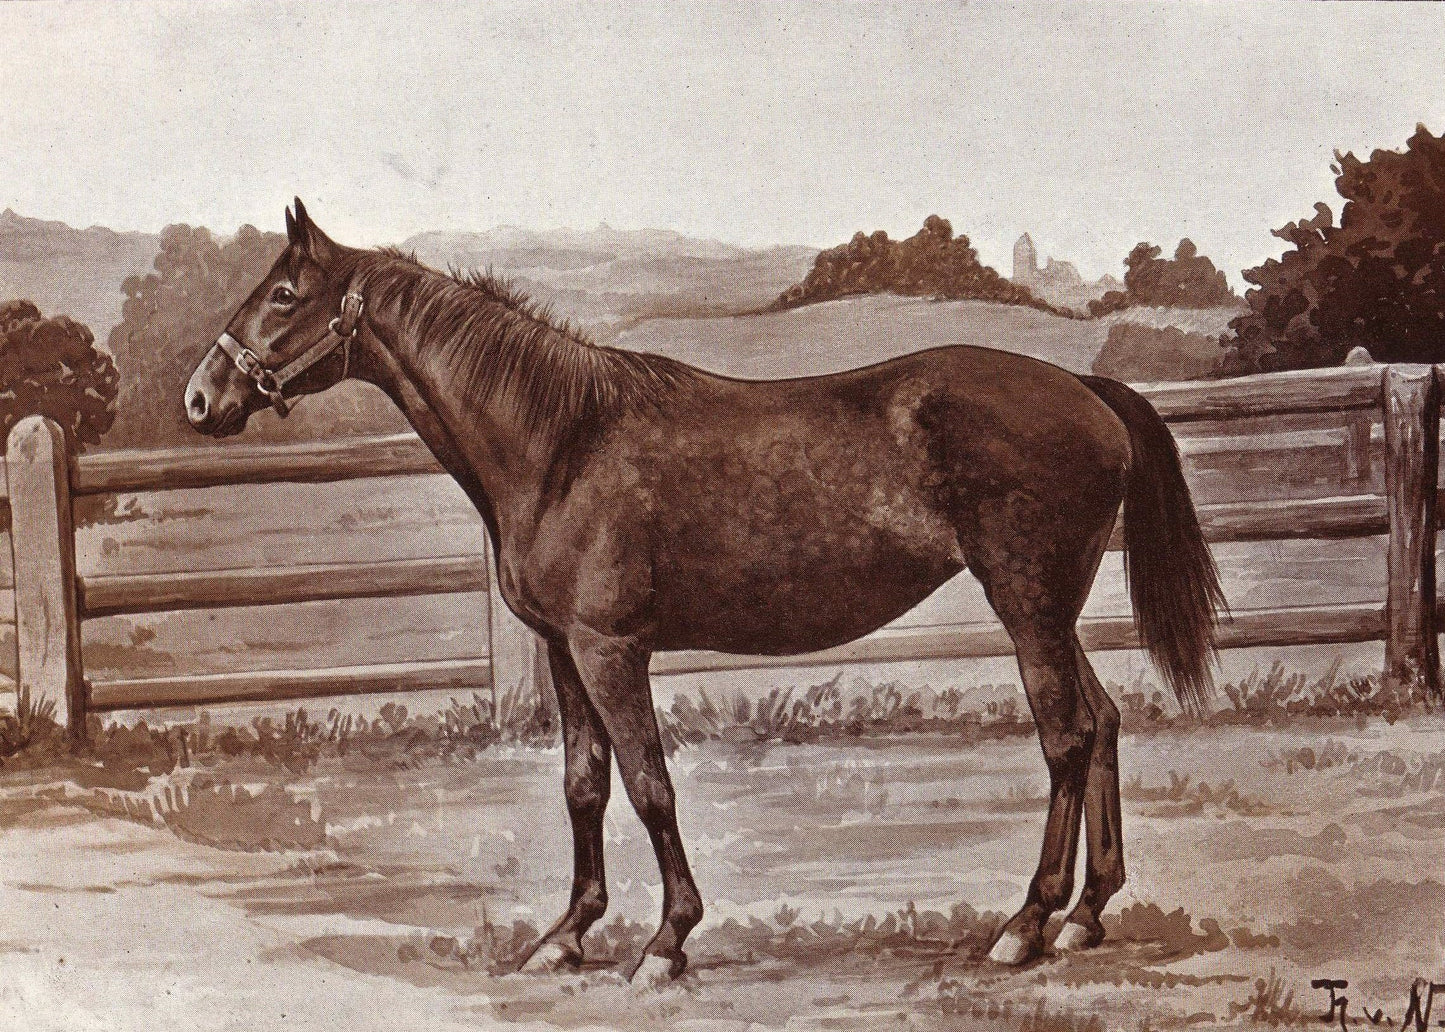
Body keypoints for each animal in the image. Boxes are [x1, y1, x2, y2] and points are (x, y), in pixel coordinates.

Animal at [185, 200, 1224, 985]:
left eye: (284, 294)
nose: (199, 398)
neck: (563, 443)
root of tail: (1085, 389)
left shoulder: (611, 649)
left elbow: (649, 787)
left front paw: (665, 942)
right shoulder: (565, 651)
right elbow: (583, 786)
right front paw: (565, 937)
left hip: (1026, 606)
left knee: (1067, 738)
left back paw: (1024, 925)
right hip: (1048, 610)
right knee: (1104, 722)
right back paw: (1086, 916)